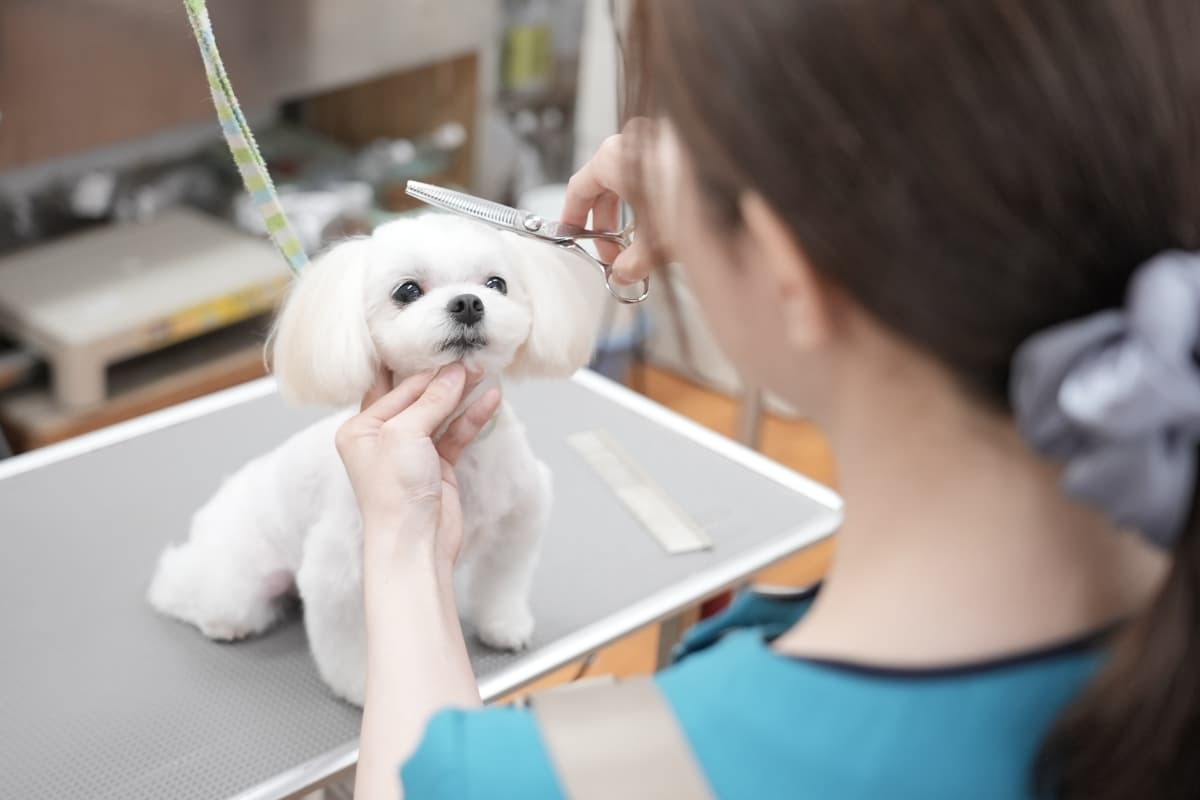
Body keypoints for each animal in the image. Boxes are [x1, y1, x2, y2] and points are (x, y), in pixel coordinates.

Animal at [147, 214, 600, 705]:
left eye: (496, 284)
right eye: (407, 291)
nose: (468, 303)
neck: (453, 439)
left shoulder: (517, 527)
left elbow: (502, 584)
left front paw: (505, 625)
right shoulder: (340, 572)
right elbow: (346, 638)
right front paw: (360, 685)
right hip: (239, 580)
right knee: (188, 589)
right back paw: (209, 615)